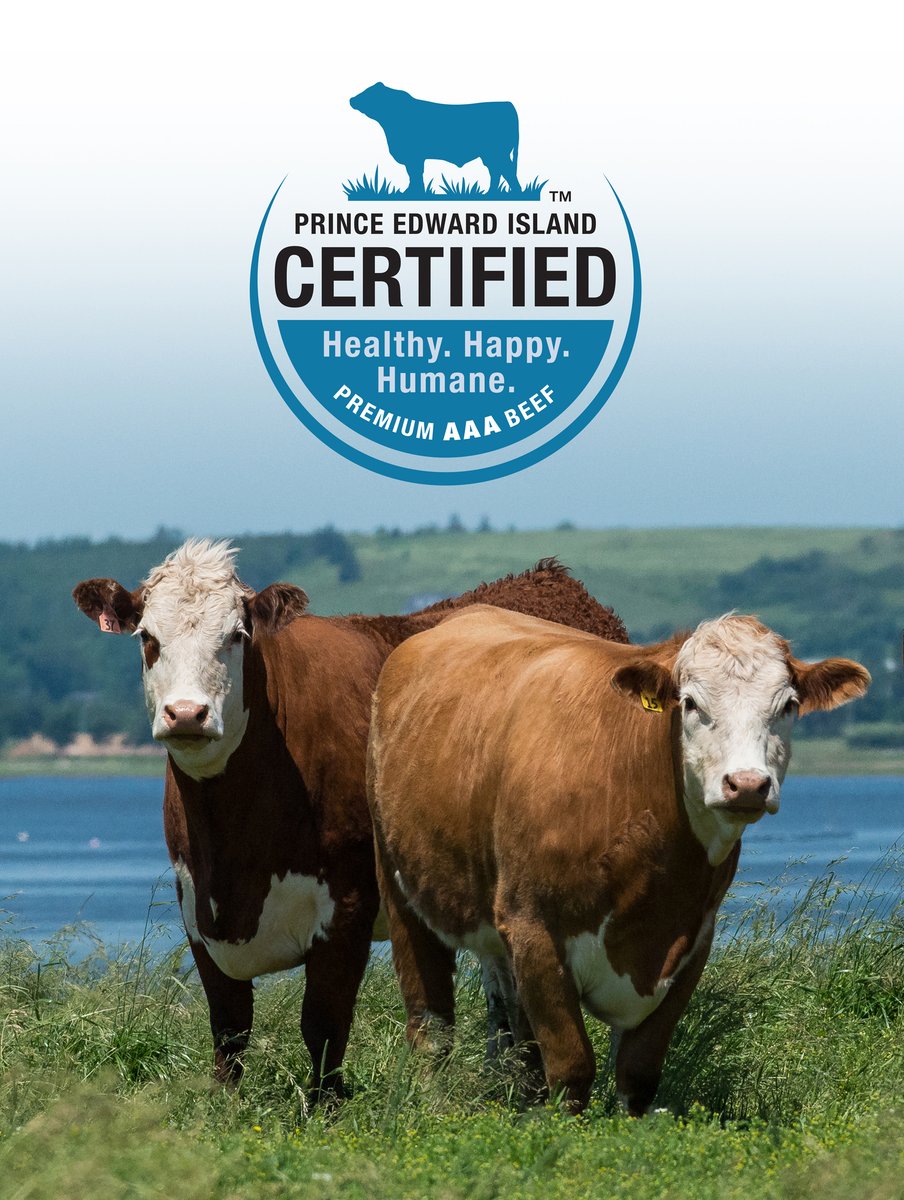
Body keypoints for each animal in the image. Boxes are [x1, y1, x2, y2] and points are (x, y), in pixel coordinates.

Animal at [72, 540, 628, 1097]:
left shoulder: (349, 904)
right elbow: (229, 1029)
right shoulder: (195, 907)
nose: (187, 713)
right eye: (147, 637)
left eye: (236, 635)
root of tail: (550, 580)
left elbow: (323, 1023)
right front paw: (225, 1104)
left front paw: (325, 1105)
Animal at [350, 82, 521, 196]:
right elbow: (414, 174)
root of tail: (508, 104)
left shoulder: (413, 156)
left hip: (496, 152)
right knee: (497, 171)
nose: (352, 99)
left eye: (369, 93)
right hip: (491, 154)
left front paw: (411, 193)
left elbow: (415, 173)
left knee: (505, 171)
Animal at [367, 607, 871, 1115]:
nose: (747, 784)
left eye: (787, 705)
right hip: (402, 888)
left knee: (510, 1023)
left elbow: (638, 1071)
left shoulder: (692, 942)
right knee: (431, 1026)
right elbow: (571, 1069)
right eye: (690, 703)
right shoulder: (534, 929)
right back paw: (434, 1102)